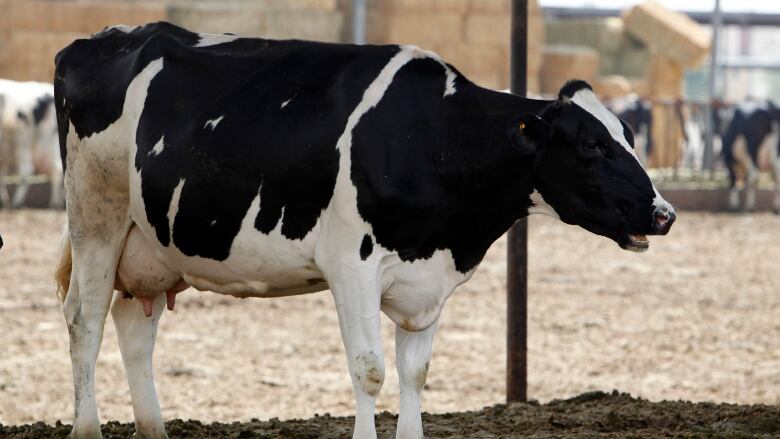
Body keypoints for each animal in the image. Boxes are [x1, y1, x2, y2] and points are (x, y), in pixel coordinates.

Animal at [0, 78, 64, 208]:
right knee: (57, 169)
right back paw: (55, 203)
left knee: (27, 170)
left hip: (23, 141)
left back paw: (16, 203)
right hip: (49, 143)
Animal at [54, 23, 676, 439]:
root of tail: (99, 39)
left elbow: (415, 373)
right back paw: (87, 428)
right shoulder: (350, 263)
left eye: (628, 134)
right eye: (591, 144)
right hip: (96, 215)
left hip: (150, 244)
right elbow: (370, 370)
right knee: (85, 321)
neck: (431, 137)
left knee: (135, 328)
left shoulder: (428, 277)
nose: (663, 213)